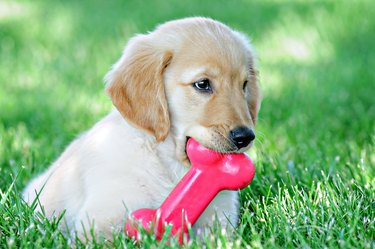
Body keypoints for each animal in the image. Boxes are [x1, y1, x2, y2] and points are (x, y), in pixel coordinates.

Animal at [22, 17, 260, 239]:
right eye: (202, 84)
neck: (170, 165)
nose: (245, 137)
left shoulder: (218, 221)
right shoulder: (101, 221)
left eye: (244, 85)